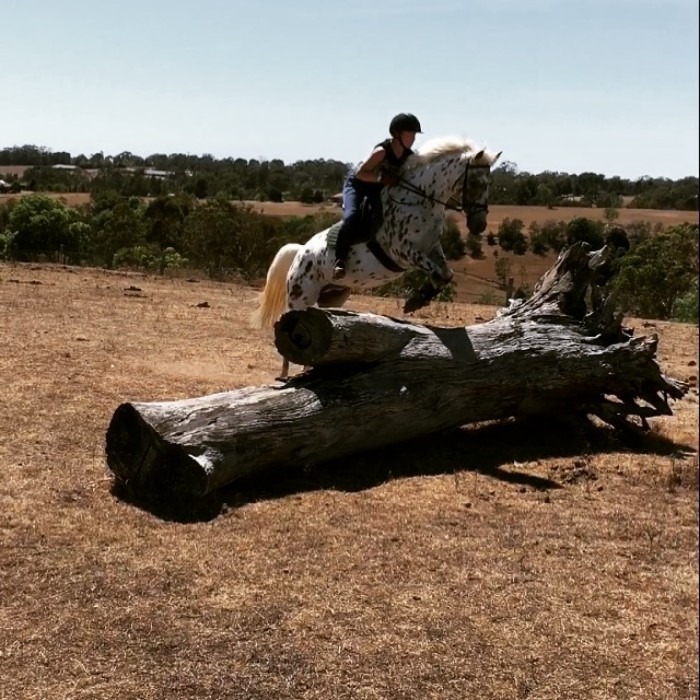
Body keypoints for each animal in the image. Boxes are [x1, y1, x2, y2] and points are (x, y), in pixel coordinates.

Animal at [252, 135, 504, 380]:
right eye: (476, 183)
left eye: (489, 184)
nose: (479, 226)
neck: (422, 201)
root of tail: (299, 252)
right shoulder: (402, 251)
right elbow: (437, 271)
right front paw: (415, 301)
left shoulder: (432, 248)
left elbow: (446, 273)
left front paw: (421, 298)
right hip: (300, 297)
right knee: (286, 327)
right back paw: (283, 376)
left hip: (332, 297)